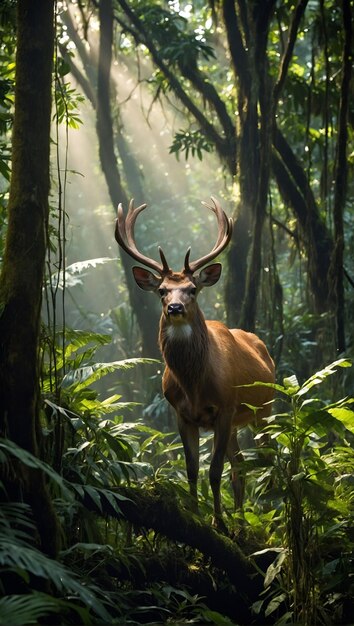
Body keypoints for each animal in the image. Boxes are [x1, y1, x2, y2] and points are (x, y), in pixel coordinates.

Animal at [115, 196, 276, 528]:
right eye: (162, 290)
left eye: (192, 289)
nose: (175, 307)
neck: (195, 385)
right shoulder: (181, 413)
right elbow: (192, 470)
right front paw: (195, 514)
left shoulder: (225, 407)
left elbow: (214, 471)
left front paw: (219, 523)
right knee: (240, 465)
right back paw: (242, 522)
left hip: (264, 408)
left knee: (271, 459)